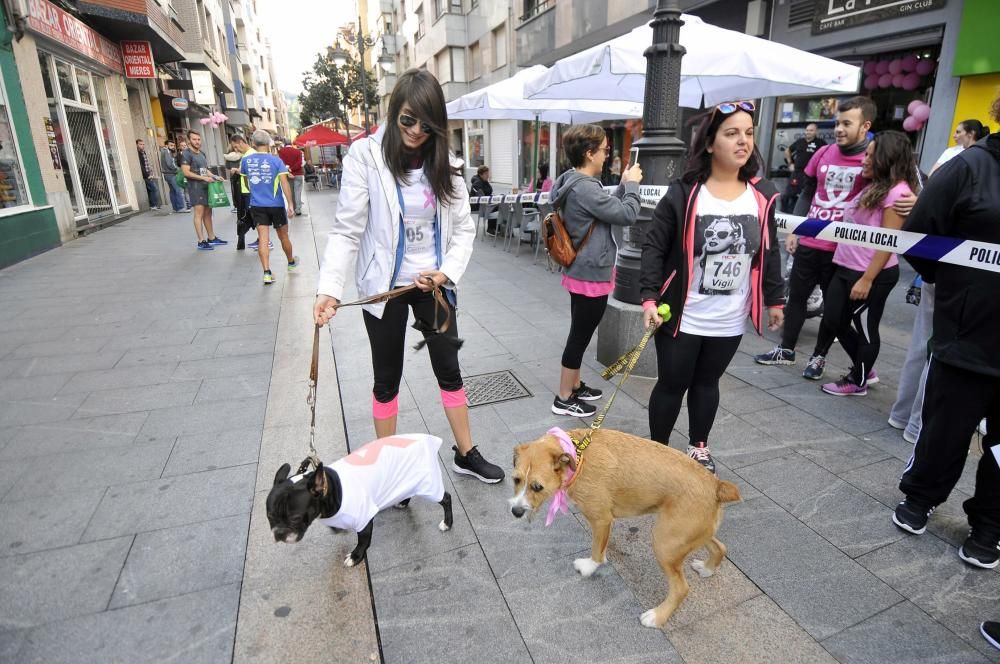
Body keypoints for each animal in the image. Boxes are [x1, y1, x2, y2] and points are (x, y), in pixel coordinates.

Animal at [512, 430, 740, 628]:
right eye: (516, 479)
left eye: (537, 487)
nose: (515, 511)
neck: (578, 455)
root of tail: (716, 485)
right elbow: (601, 547)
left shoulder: (601, 519)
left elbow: (596, 551)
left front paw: (589, 567)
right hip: (688, 534)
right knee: (720, 547)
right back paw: (707, 569)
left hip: (665, 544)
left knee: (681, 589)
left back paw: (657, 616)